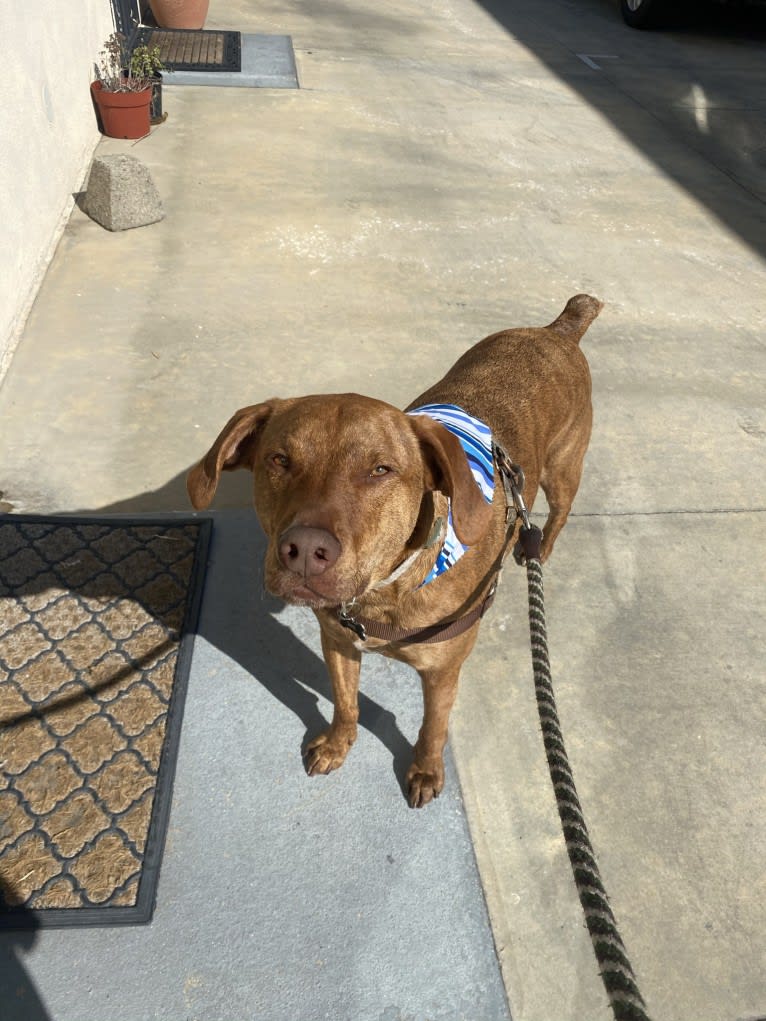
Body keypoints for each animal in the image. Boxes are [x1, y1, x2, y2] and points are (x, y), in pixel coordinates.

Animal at [187, 294, 600, 804]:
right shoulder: (337, 641)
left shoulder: (442, 672)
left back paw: (537, 549)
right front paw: (337, 743)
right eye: (279, 460)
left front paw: (424, 769)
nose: (304, 549)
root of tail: (558, 329)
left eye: (381, 469)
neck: (385, 590)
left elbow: (433, 727)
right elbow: (345, 703)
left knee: (558, 513)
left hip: (563, 470)